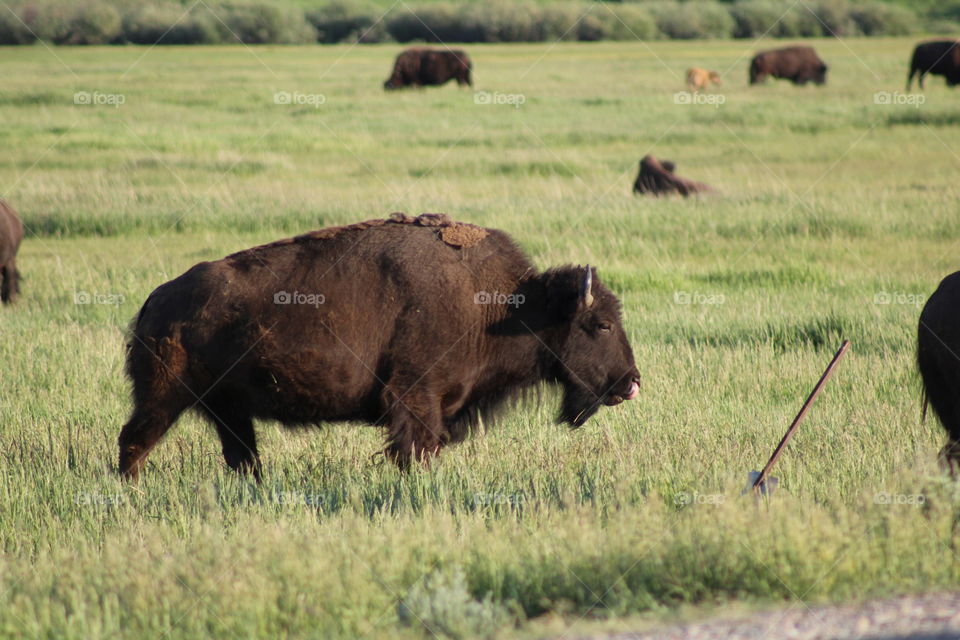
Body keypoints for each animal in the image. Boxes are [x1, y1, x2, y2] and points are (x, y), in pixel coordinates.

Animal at [120, 212, 640, 478]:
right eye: (600, 325)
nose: (632, 382)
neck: (504, 308)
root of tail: (155, 301)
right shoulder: (416, 399)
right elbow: (416, 449)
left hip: (227, 408)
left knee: (241, 456)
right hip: (164, 398)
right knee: (134, 440)